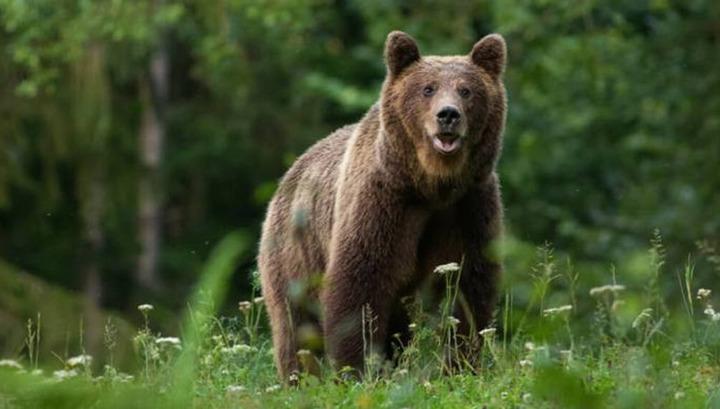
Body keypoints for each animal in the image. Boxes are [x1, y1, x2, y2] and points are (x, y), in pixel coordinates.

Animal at [258, 29, 506, 380]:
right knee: (296, 324)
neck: (431, 185)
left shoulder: (469, 206)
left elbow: (469, 287)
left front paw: (461, 365)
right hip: (294, 252)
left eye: (466, 90)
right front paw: (357, 370)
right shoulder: (383, 202)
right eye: (427, 88)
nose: (448, 115)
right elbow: (359, 284)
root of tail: (290, 173)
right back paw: (300, 377)